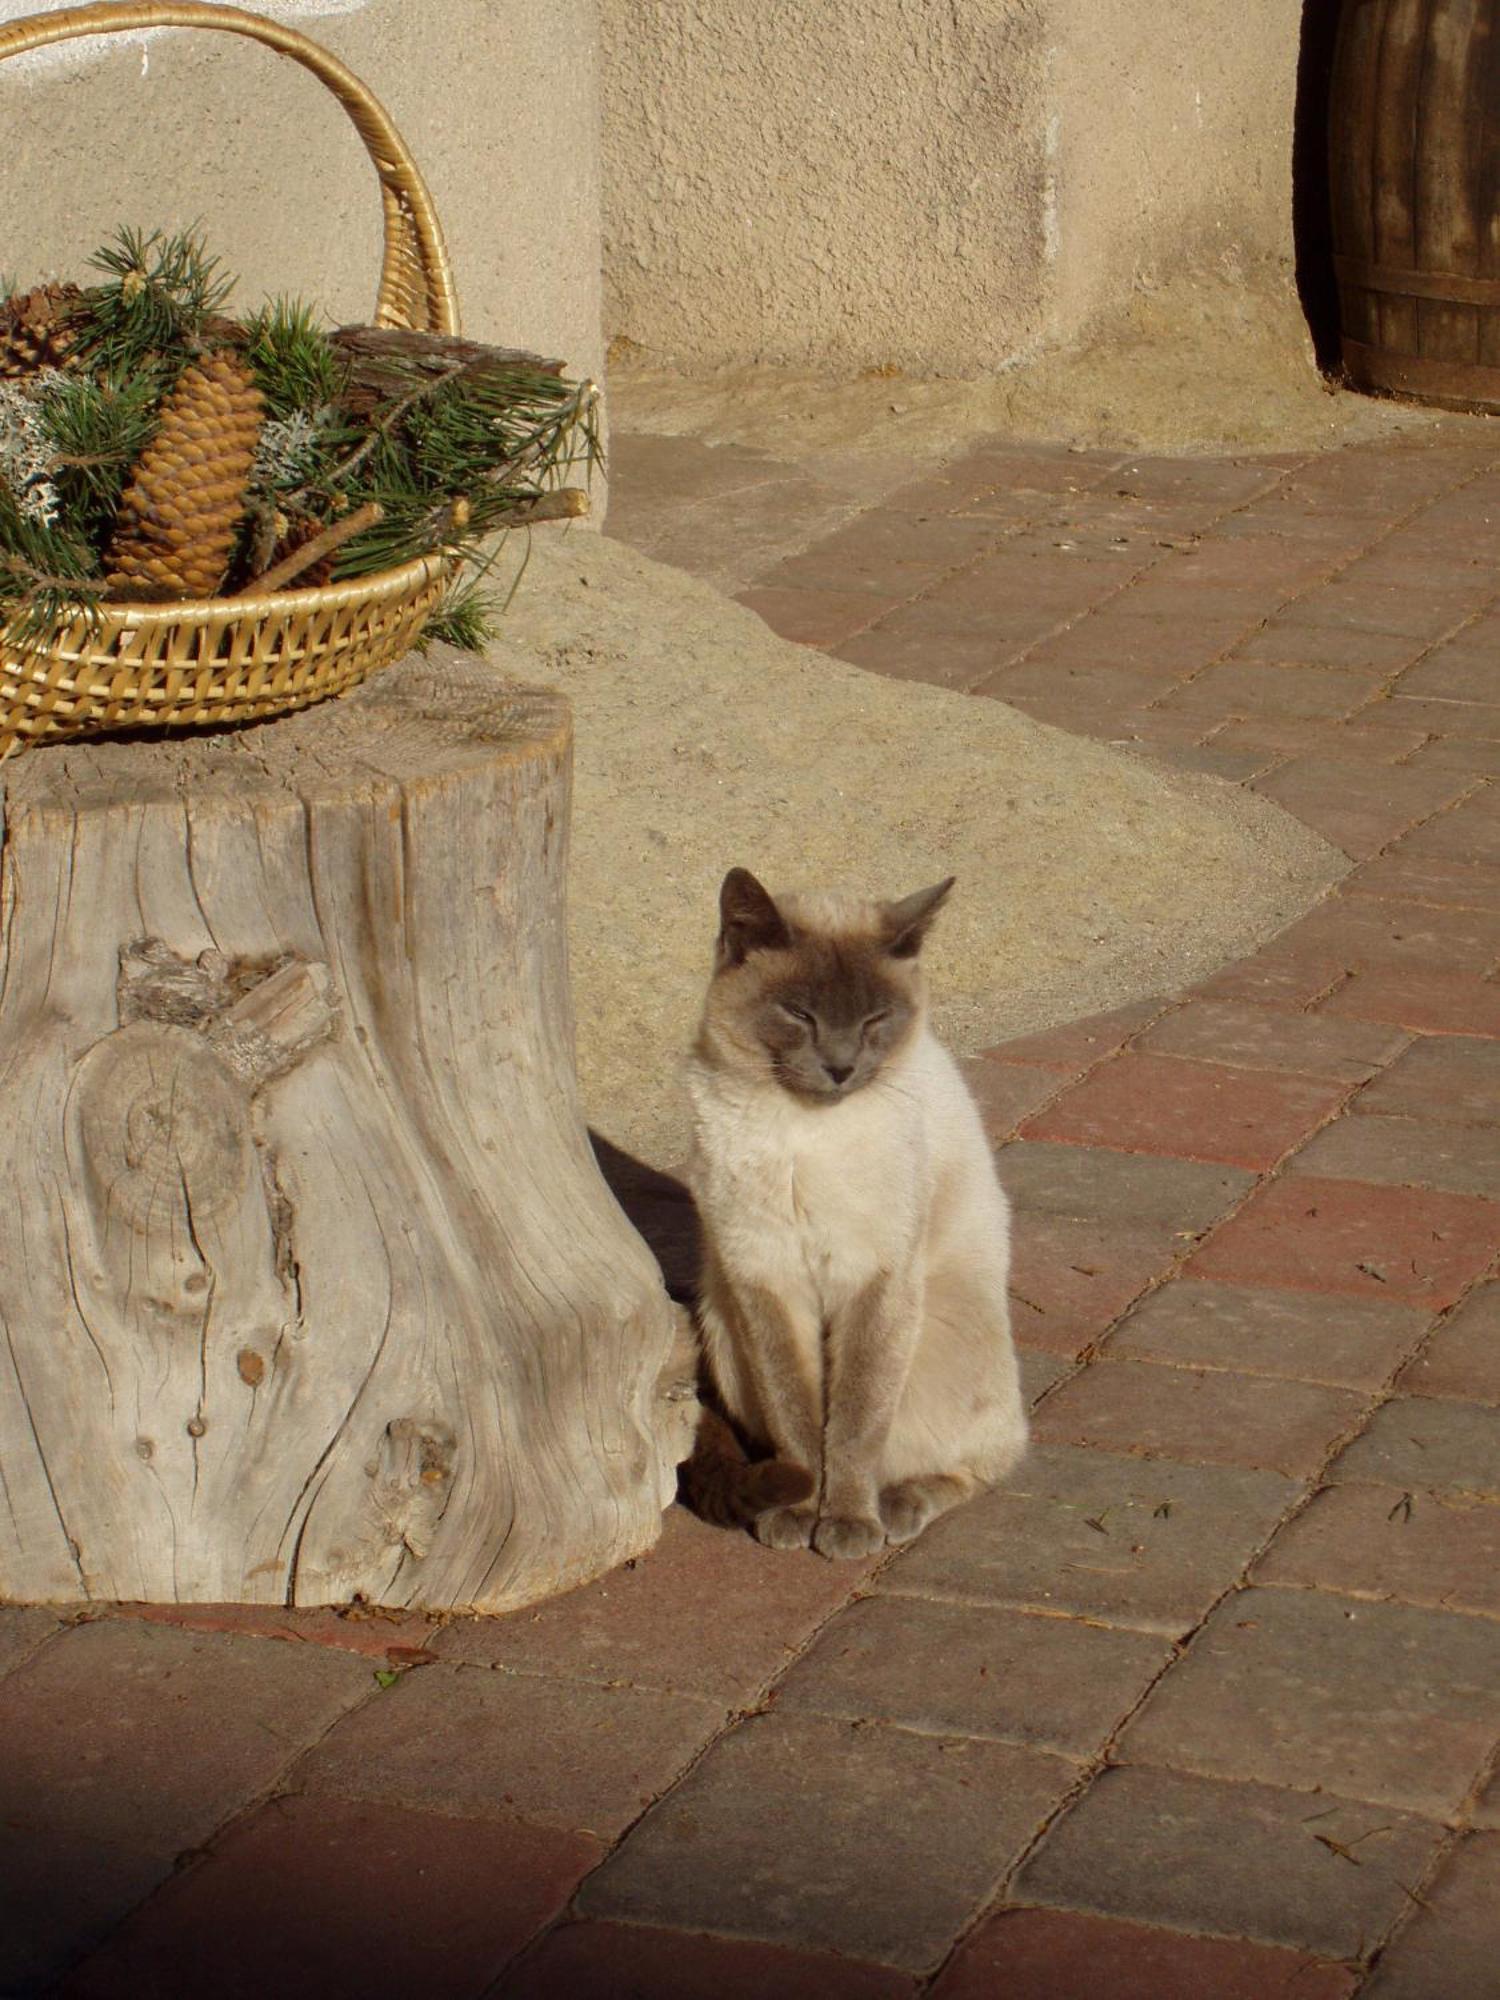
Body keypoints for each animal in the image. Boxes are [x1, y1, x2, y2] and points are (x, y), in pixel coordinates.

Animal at [684, 872, 1032, 1560]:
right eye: (800, 1015)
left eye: (875, 1020)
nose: (841, 1068)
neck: (801, 1131)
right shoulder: (763, 1279)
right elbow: (797, 1415)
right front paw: (798, 1510)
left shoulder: (874, 1277)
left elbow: (853, 1422)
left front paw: (844, 1523)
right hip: (721, 1324)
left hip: (937, 1340)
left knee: (979, 1463)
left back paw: (895, 1508)